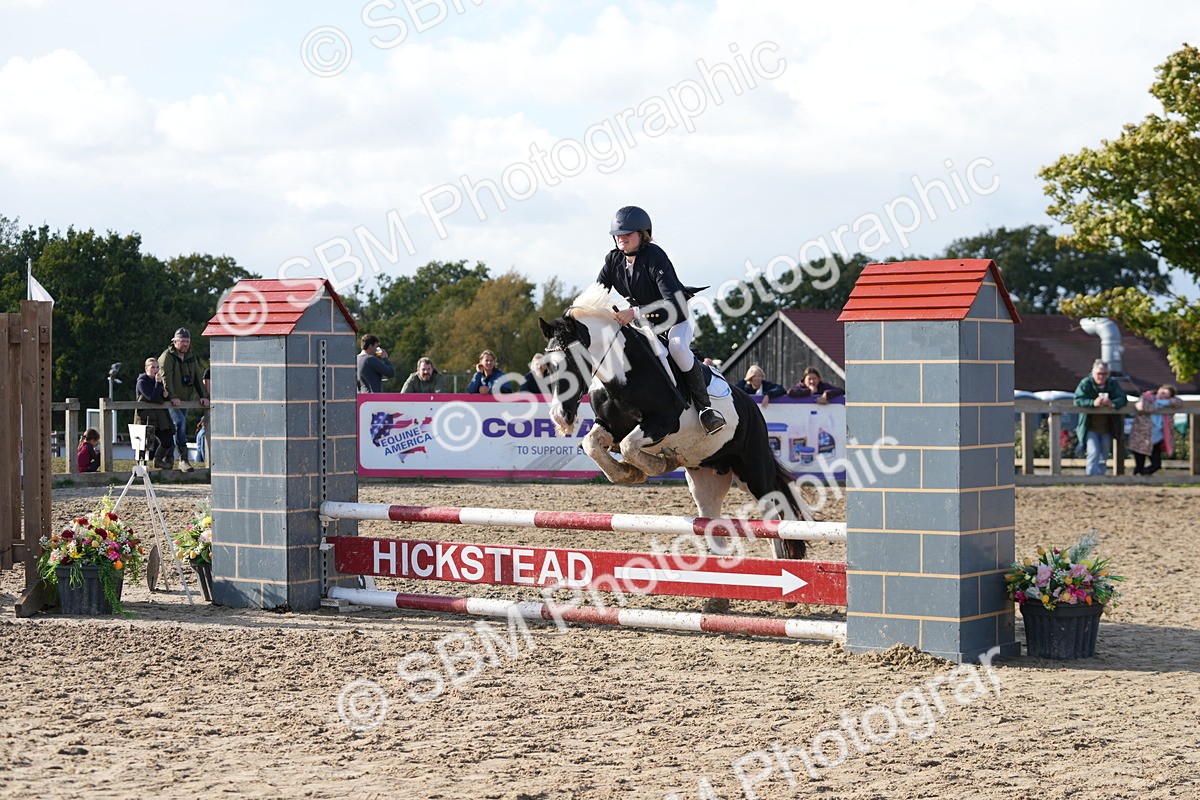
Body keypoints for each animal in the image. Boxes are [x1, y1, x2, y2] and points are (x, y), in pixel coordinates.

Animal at [538, 283, 810, 560]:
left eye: (573, 362)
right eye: (547, 367)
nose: (560, 416)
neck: (621, 373)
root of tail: (752, 407)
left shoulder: (664, 422)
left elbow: (628, 446)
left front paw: (658, 464)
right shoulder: (610, 426)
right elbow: (593, 444)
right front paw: (628, 472)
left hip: (754, 473)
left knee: (772, 517)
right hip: (706, 479)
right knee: (714, 525)